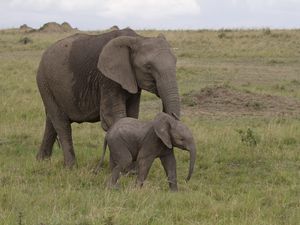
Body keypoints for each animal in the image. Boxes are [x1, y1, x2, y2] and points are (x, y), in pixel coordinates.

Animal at [36, 28, 179, 167]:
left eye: (175, 62)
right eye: (148, 67)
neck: (138, 38)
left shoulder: (132, 81)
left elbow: (132, 116)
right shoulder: (107, 79)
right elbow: (112, 117)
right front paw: (122, 169)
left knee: (51, 121)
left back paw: (42, 161)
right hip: (45, 82)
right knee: (61, 123)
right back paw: (71, 167)